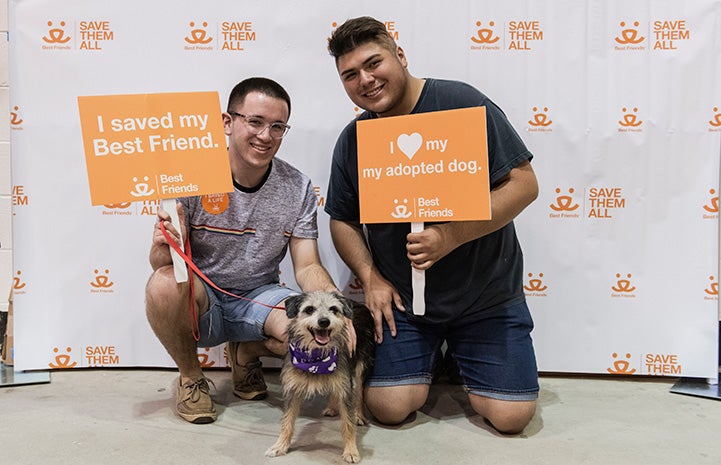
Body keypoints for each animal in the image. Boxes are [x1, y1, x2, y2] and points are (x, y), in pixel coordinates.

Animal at [266, 290, 376, 460]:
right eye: (309, 309)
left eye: (333, 309)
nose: (324, 321)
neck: (316, 358)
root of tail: (359, 304)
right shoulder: (292, 389)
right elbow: (287, 421)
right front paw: (280, 446)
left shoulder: (345, 387)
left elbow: (348, 423)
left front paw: (351, 451)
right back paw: (331, 407)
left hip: (361, 365)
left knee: (359, 393)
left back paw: (358, 414)